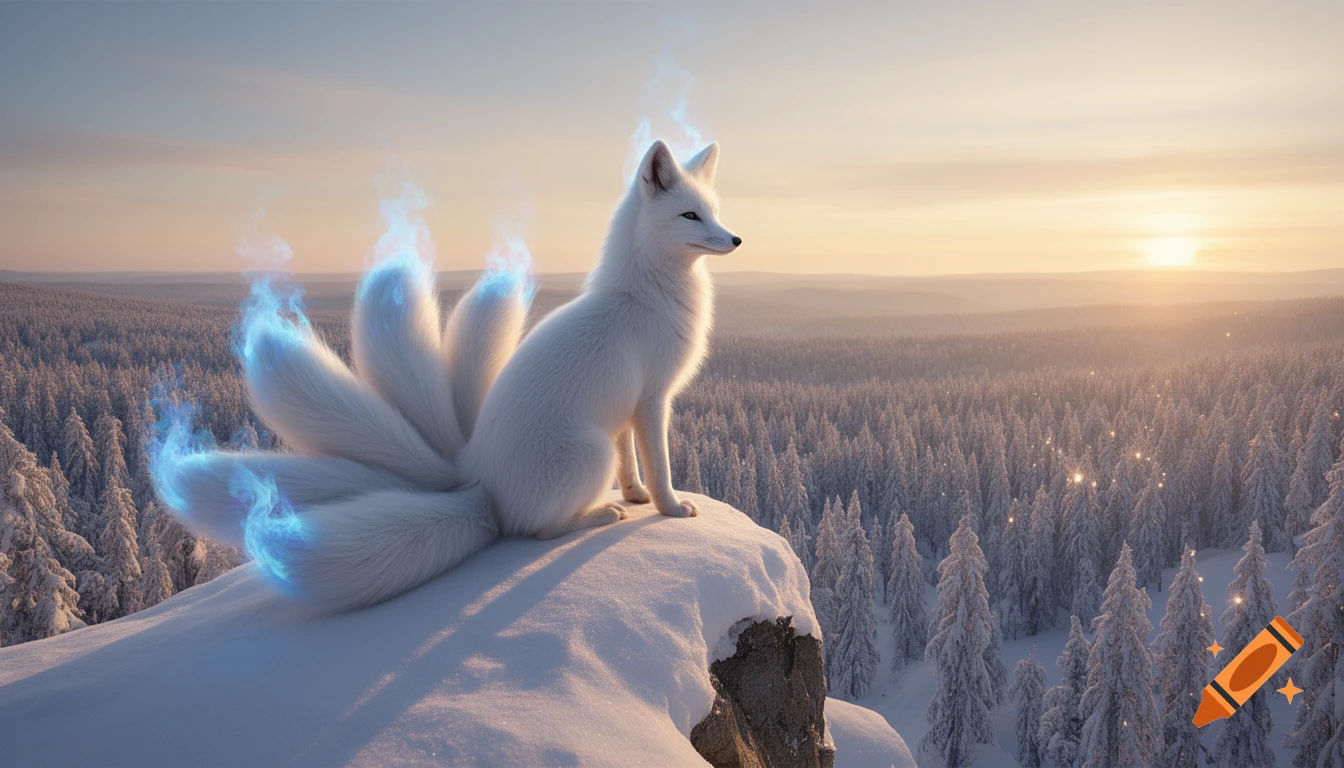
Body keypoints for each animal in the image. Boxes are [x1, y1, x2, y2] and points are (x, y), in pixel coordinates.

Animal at [155, 139, 740, 610]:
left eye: (713, 212)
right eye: (691, 216)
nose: (735, 239)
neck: (644, 296)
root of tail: (480, 479)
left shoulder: (624, 409)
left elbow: (632, 465)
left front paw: (638, 496)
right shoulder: (652, 399)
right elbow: (659, 465)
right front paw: (670, 509)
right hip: (585, 451)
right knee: (534, 529)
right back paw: (600, 516)